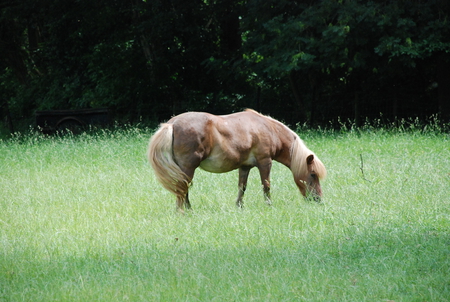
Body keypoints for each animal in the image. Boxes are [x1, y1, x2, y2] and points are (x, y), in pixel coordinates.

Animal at [148, 109, 326, 212]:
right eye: (312, 174)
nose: (318, 199)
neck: (268, 129)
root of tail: (172, 124)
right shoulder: (265, 162)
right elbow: (266, 186)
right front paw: (269, 206)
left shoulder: (245, 166)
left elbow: (242, 187)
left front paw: (239, 207)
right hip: (188, 167)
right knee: (182, 187)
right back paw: (182, 211)